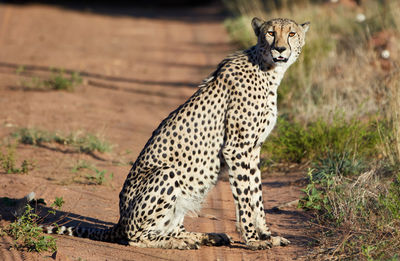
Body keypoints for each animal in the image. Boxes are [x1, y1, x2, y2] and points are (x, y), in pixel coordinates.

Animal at [46, 17, 310, 249]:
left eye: (291, 33)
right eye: (271, 33)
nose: (280, 49)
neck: (268, 70)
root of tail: (120, 221)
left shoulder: (252, 149)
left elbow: (256, 194)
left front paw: (267, 235)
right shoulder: (238, 149)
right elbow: (245, 197)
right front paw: (253, 240)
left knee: (171, 227)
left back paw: (203, 237)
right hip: (166, 174)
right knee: (136, 237)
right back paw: (180, 242)